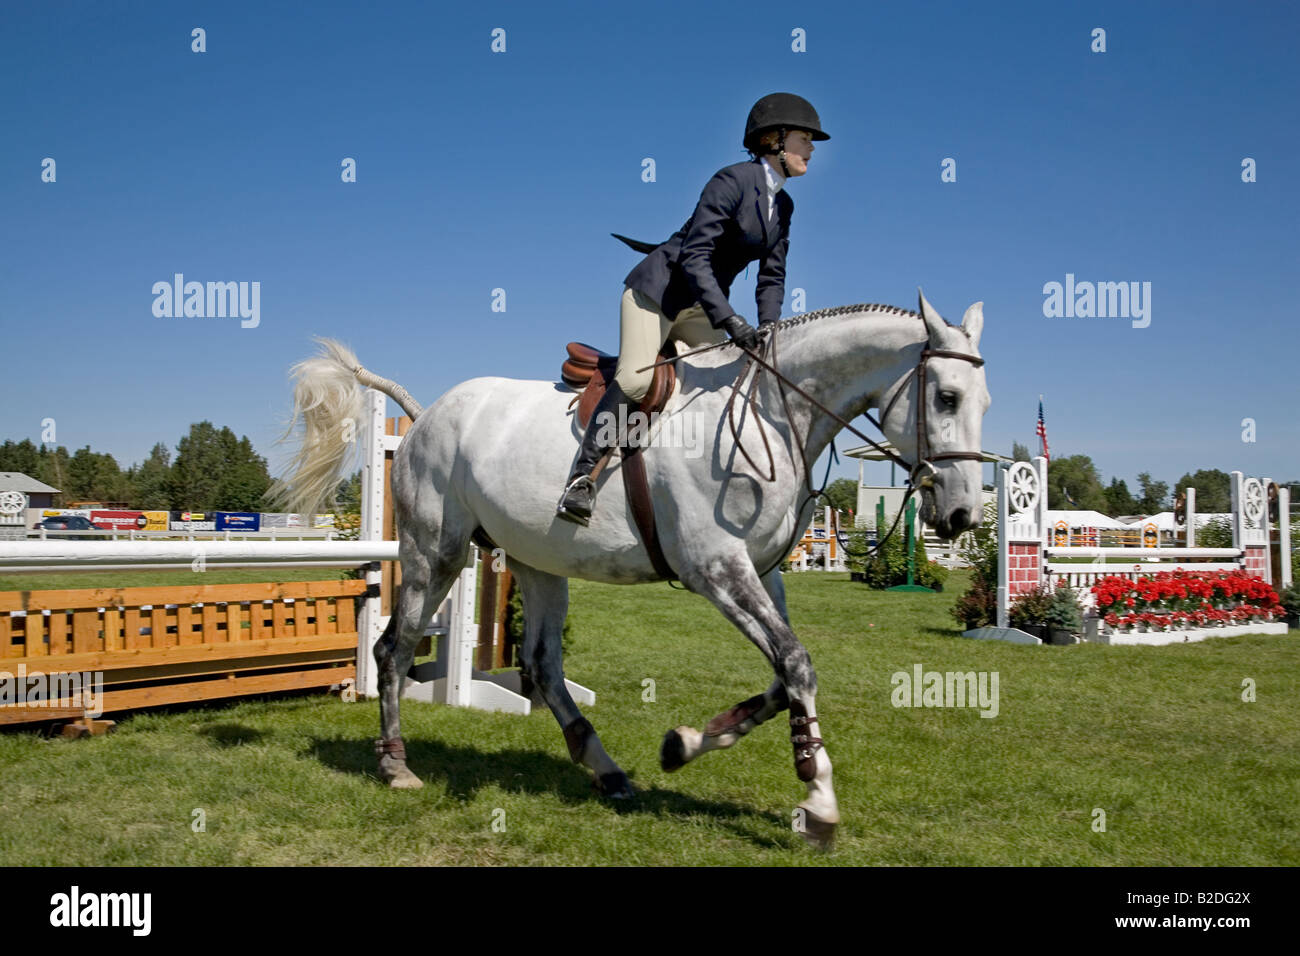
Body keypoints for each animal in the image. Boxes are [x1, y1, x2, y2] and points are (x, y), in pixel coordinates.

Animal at [271, 290, 982, 842]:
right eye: (946, 397)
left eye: (982, 402)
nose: (961, 515)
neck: (773, 415)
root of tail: (425, 417)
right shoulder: (717, 570)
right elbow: (797, 665)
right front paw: (819, 800)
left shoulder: (762, 573)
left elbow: (785, 675)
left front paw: (686, 744)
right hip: (433, 552)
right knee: (393, 649)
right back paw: (396, 766)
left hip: (536, 561)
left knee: (541, 663)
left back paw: (606, 770)